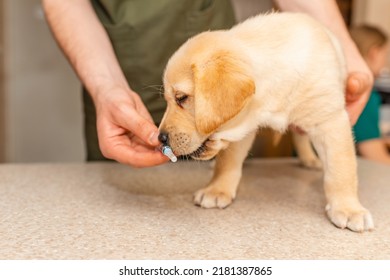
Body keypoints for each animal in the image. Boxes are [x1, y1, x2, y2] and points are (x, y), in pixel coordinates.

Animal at [159, 12, 374, 232]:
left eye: (181, 98)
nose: (161, 138)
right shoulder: (243, 127)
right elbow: (227, 162)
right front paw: (217, 189)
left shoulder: (330, 120)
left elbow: (342, 170)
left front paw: (348, 209)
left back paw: (310, 159)